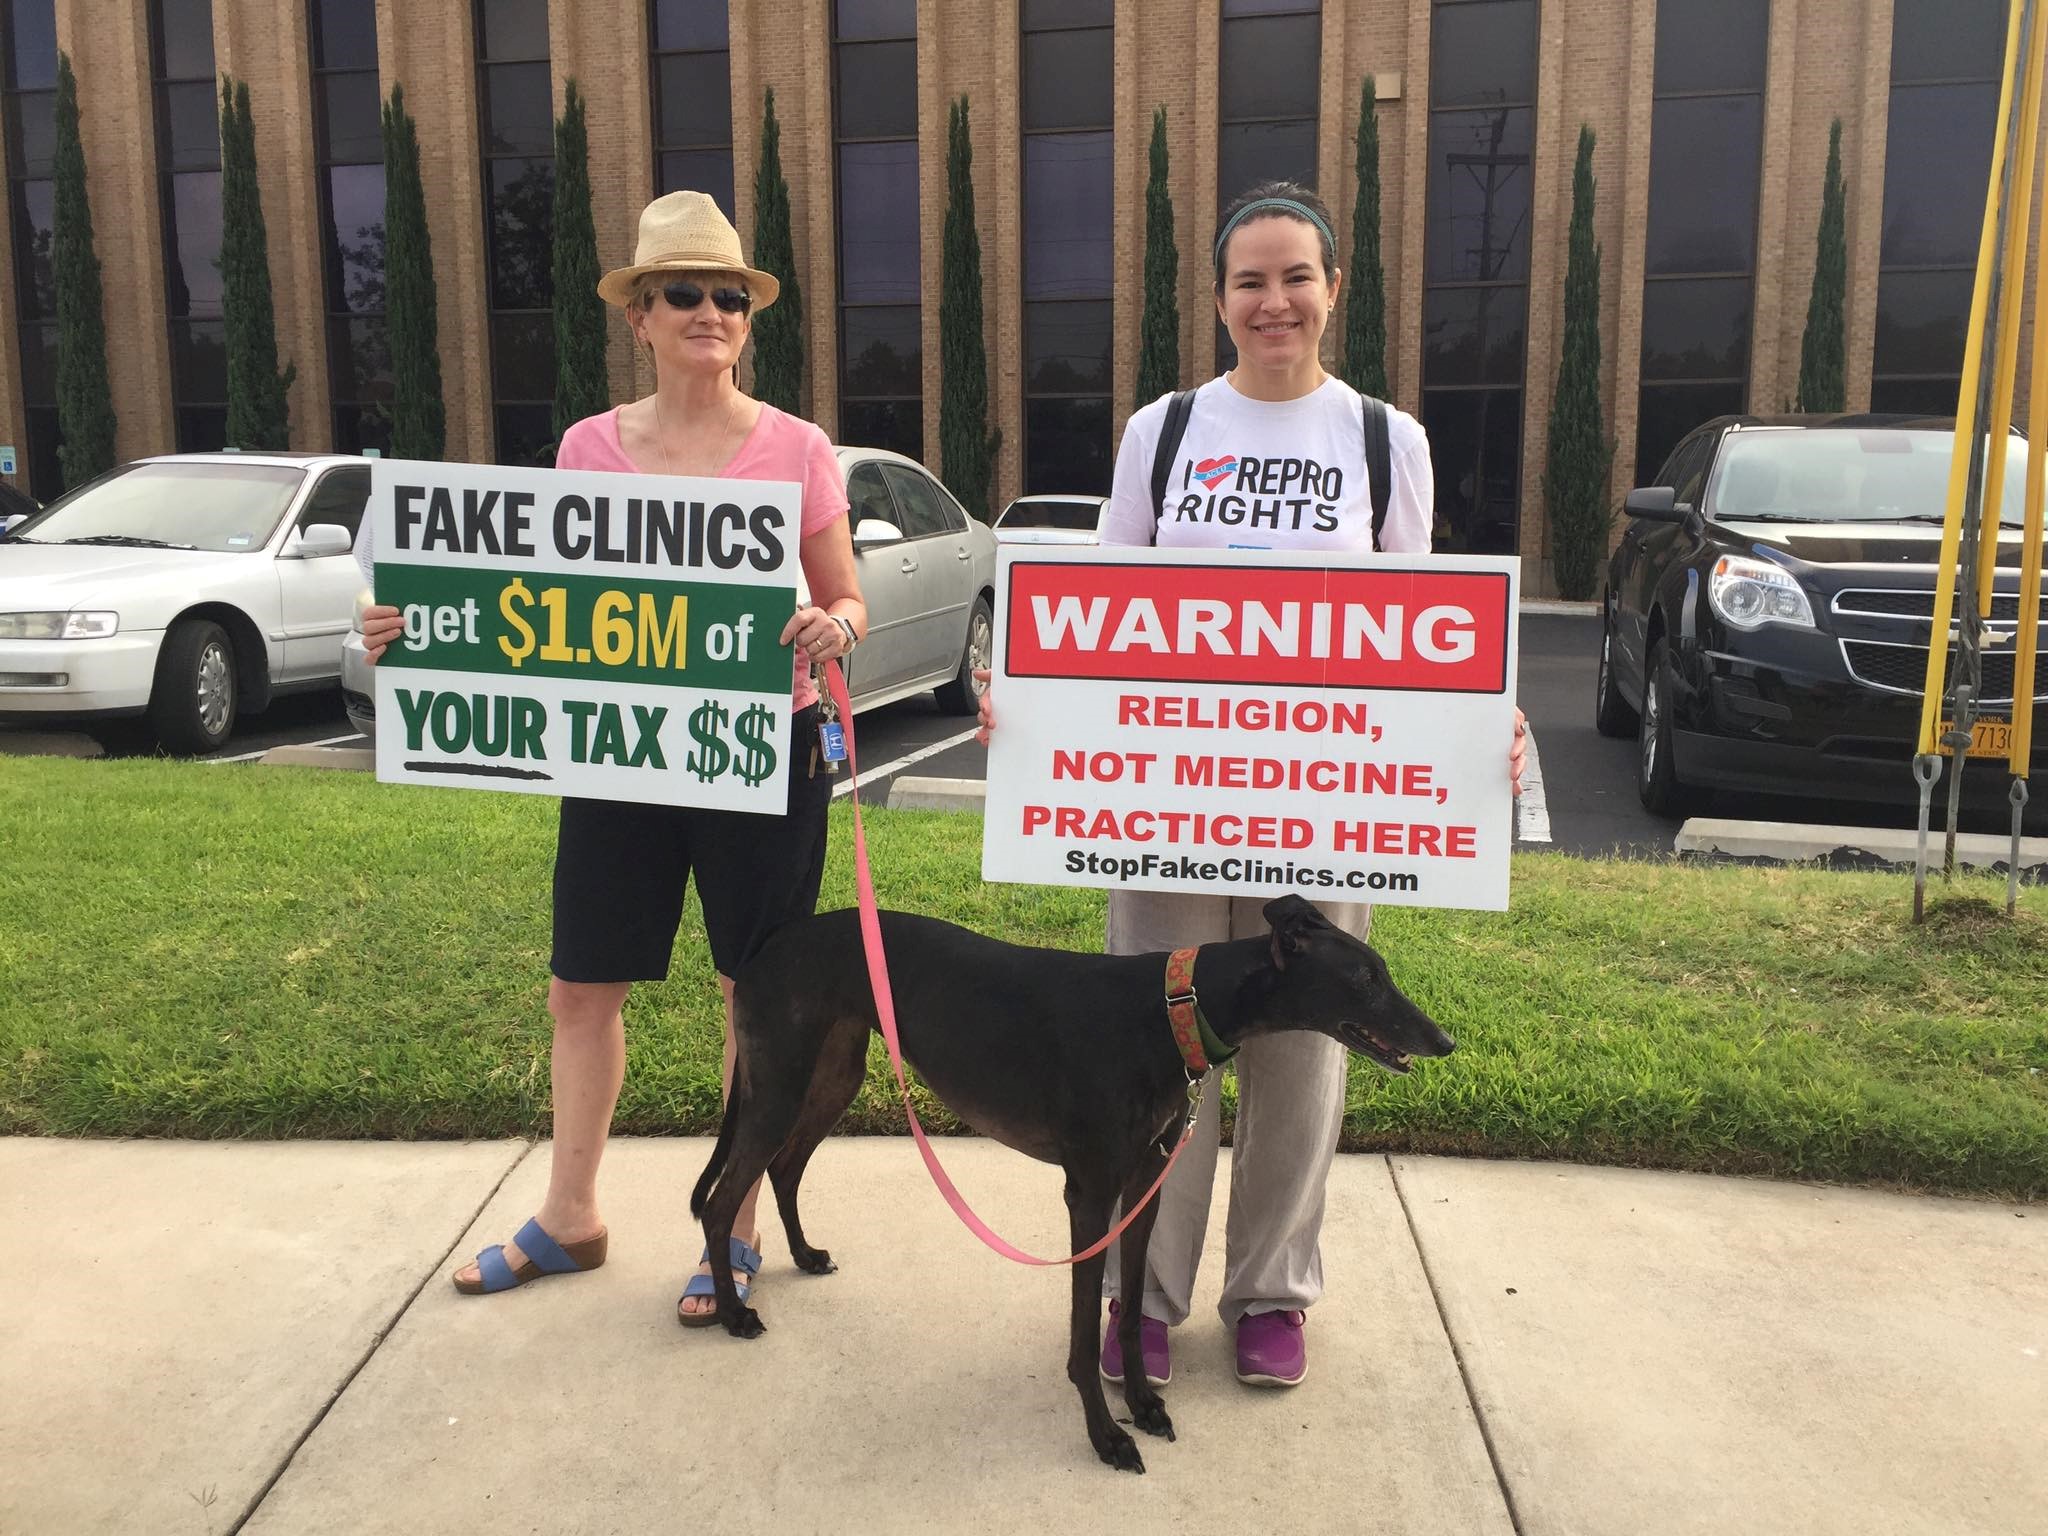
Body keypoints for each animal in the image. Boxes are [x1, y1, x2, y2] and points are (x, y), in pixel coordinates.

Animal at [690, 894, 1454, 1473]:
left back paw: (805, 1255)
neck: (1174, 1007)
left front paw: (1144, 1404)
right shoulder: (1089, 1193)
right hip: (780, 1081)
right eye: (1365, 979)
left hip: (832, 1070)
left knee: (785, 1165)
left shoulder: (1144, 1182)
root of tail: (767, 947)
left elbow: (1134, 1312)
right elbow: (1086, 1336)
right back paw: (731, 1313)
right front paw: (1107, 1436)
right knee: (724, 1198)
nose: (1444, 1041)